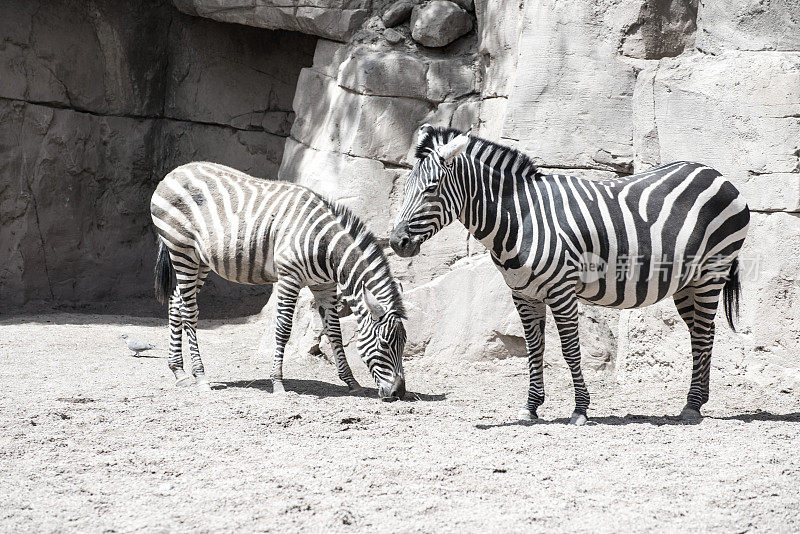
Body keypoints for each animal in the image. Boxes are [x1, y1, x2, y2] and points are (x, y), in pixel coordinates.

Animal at [148, 163, 406, 402]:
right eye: (385, 344)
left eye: (403, 343)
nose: (399, 393)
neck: (326, 248)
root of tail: (174, 172)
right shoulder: (289, 278)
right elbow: (283, 329)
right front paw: (278, 383)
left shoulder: (324, 286)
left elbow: (334, 331)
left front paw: (351, 381)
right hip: (182, 251)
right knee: (189, 312)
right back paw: (201, 377)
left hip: (200, 260)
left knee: (176, 302)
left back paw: (180, 372)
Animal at [390, 123, 752, 426]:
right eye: (406, 188)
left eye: (431, 188)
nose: (396, 242)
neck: (520, 218)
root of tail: (716, 174)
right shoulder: (523, 294)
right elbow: (534, 348)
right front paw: (531, 407)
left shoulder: (561, 290)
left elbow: (569, 349)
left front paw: (580, 409)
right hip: (686, 282)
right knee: (703, 334)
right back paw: (699, 401)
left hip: (710, 272)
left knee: (703, 334)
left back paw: (690, 408)